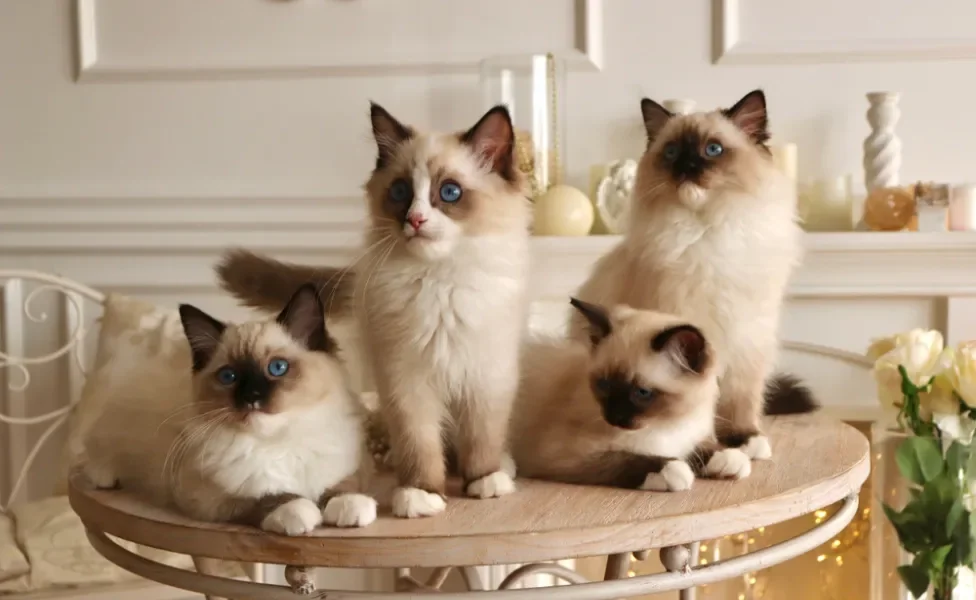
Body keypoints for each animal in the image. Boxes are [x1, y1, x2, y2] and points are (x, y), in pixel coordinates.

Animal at [83, 284, 378, 536]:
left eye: (277, 368)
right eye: (229, 377)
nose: (251, 398)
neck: (277, 443)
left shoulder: (350, 466)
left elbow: (342, 485)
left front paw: (348, 506)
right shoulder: (208, 496)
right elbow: (263, 496)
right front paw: (297, 510)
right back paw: (104, 478)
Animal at [215, 103, 532, 516]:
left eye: (449, 192)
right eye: (400, 192)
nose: (415, 220)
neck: (439, 282)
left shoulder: (486, 376)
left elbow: (482, 435)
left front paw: (484, 479)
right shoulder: (405, 380)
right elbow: (419, 444)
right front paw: (421, 493)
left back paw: (501, 468)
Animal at [510, 298, 748, 490]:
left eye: (642, 392)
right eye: (604, 385)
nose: (613, 417)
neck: (666, 424)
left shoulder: (688, 438)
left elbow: (700, 448)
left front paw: (730, 458)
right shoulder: (562, 453)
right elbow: (625, 459)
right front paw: (674, 471)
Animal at [572, 90, 816, 460]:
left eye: (712, 149)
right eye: (672, 152)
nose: (686, 167)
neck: (709, 231)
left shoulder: (748, 341)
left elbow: (741, 400)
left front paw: (745, 439)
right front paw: (712, 448)